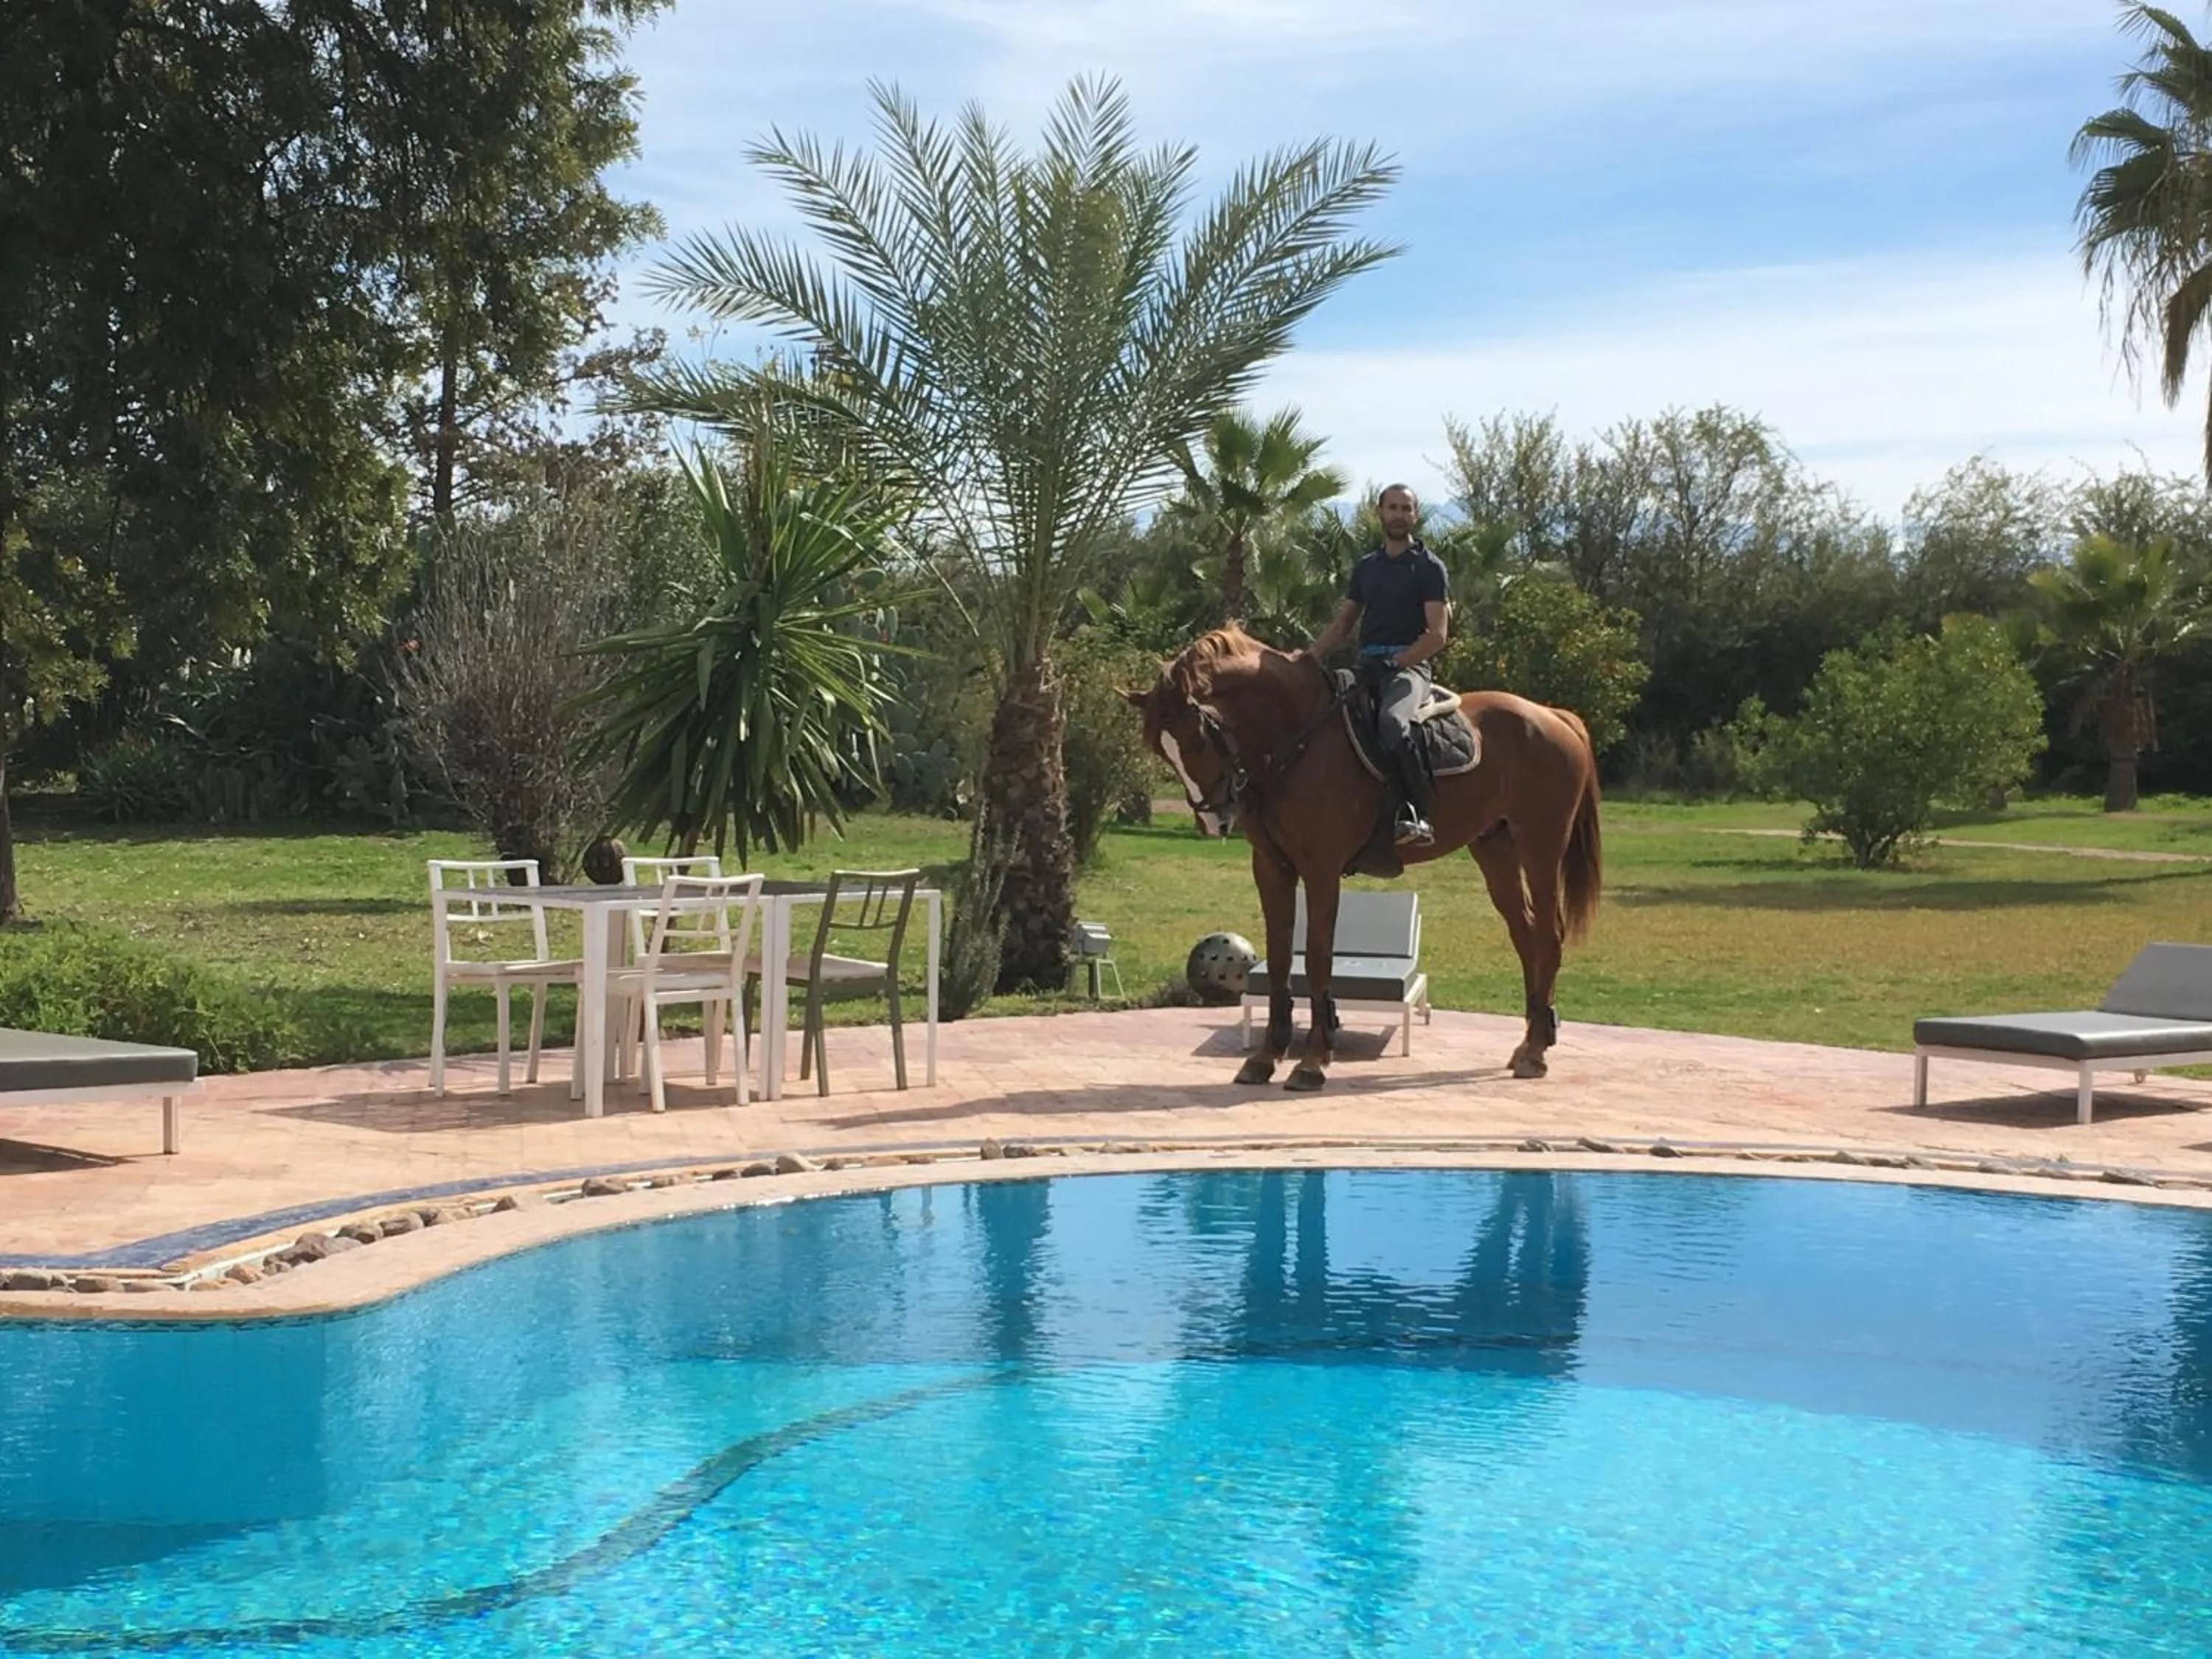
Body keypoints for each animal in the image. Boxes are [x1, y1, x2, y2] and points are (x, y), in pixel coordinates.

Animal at [1122, 626, 1603, 1090]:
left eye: (1198, 739)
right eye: (1162, 750)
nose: (1214, 819)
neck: (1297, 741)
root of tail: (1554, 716)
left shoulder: (1321, 868)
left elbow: (1318, 958)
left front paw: (1313, 1062)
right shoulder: (1272, 868)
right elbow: (1278, 959)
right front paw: (1265, 1058)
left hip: (1541, 845)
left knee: (1548, 934)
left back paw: (1537, 1051)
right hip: (1495, 849)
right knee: (1525, 935)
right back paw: (1529, 1042)